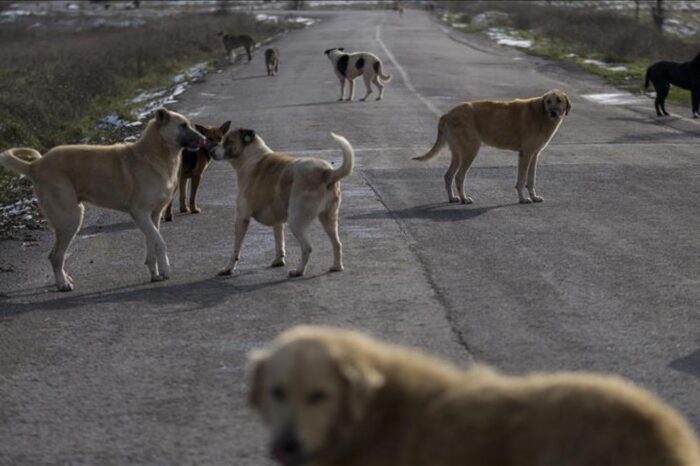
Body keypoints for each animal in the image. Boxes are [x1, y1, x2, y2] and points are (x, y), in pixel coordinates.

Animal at [212, 129, 356, 276]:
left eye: (228, 141)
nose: (211, 151)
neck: (250, 157)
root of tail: (327, 172)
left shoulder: (242, 218)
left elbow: (236, 248)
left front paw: (228, 268)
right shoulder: (277, 220)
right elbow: (279, 241)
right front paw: (278, 260)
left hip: (296, 221)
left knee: (307, 248)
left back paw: (299, 271)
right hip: (329, 218)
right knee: (337, 244)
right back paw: (337, 267)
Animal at [416, 88, 568, 204]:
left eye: (559, 100)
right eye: (548, 101)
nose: (553, 113)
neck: (541, 114)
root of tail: (447, 114)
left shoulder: (534, 155)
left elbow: (530, 179)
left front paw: (533, 197)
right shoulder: (526, 154)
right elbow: (522, 180)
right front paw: (523, 199)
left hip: (458, 153)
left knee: (448, 176)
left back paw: (453, 198)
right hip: (470, 151)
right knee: (459, 176)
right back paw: (464, 199)